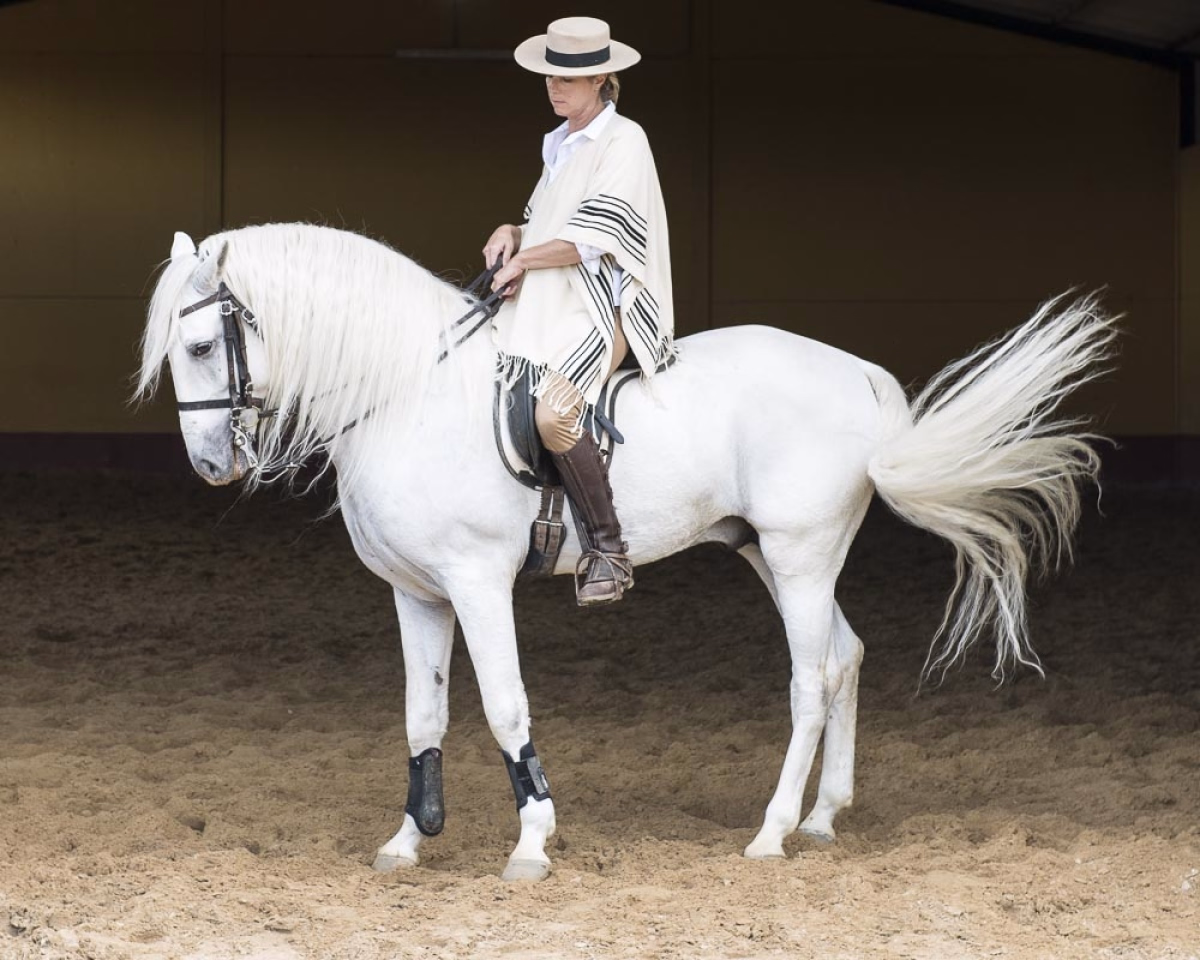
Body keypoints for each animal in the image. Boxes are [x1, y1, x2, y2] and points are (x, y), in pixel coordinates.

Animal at [136, 223, 1115, 881]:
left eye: (201, 344)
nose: (212, 465)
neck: (407, 393)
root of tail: (859, 375)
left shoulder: (477, 583)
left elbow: (504, 707)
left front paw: (533, 842)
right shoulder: (416, 593)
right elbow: (424, 715)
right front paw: (410, 839)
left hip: (799, 555)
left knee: (810, 680)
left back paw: (770, 833)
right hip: (774, 556)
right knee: (846, 656)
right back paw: (822, 820)